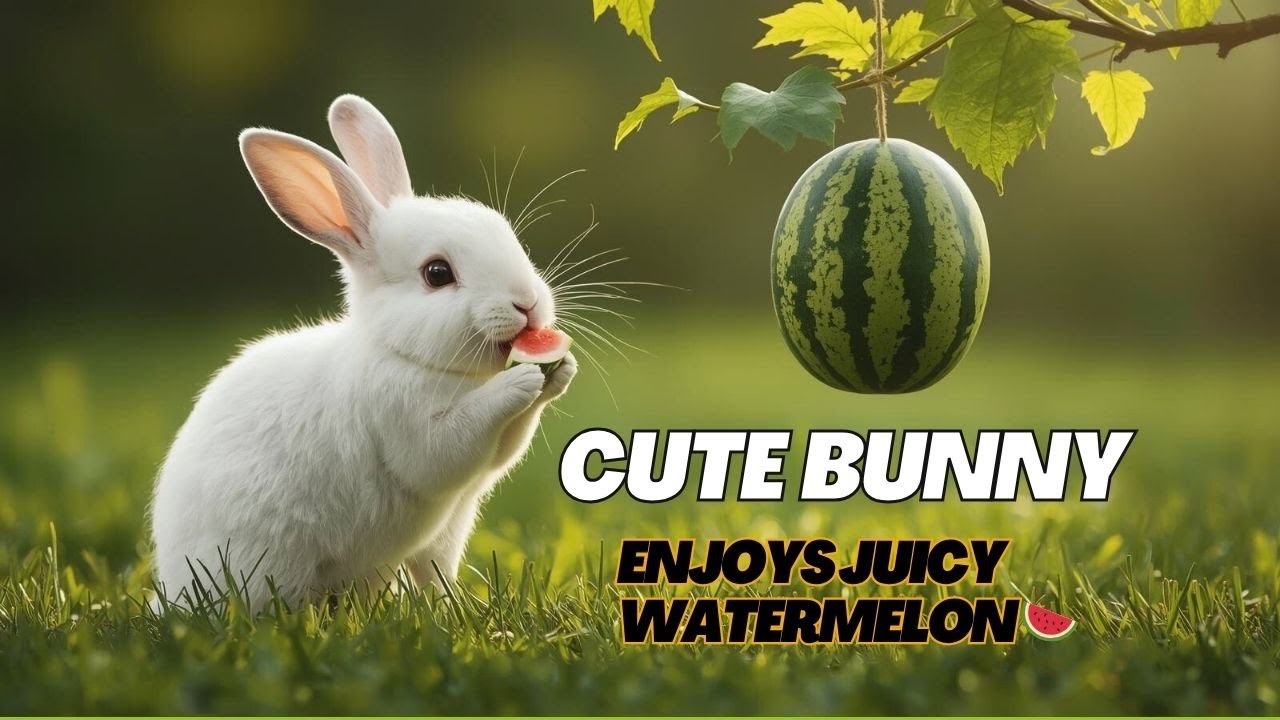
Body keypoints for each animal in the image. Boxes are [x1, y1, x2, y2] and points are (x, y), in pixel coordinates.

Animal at [150, 94, 576, 608]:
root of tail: (171, 591)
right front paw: (524, 379)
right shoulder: (416, 431)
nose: (527, 304)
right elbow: (454, 441)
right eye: (437, 273)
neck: (404, 354)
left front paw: (561, 370)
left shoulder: (460, 505)